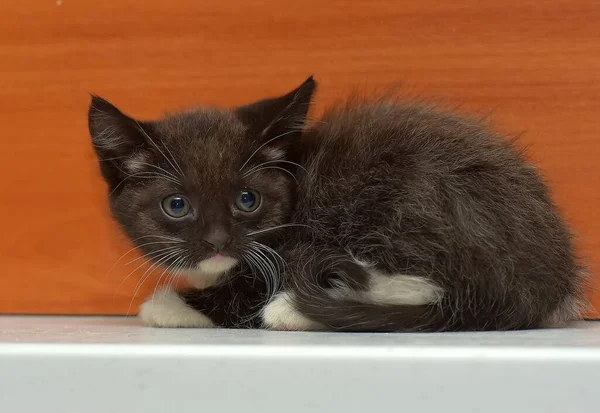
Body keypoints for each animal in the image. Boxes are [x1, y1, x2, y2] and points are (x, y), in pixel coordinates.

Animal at [88, 75, 584, 330]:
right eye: (177, 205)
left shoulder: (288, 249)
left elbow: (243, 294)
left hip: (410, 191)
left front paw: (170, 305)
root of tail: (548, 280)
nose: (217, 241)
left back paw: (295, 309)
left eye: (247, 199)